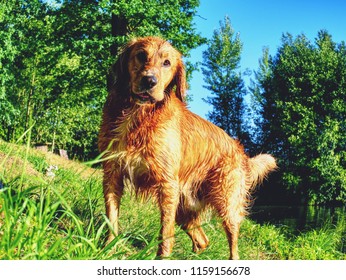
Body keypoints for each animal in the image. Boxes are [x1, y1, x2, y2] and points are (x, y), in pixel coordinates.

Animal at [98, 36, 278, 260]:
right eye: (141, 55)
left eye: (167, 63)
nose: (149, 81)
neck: (138, 114)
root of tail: (240, 152)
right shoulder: (112, 172)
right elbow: (111, 218)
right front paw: (108, 249)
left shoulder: (167, 185)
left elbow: (165, 233)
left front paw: (162, 258)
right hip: (185, 211)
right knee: (203, 240)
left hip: (226, 203)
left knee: (233, 243)